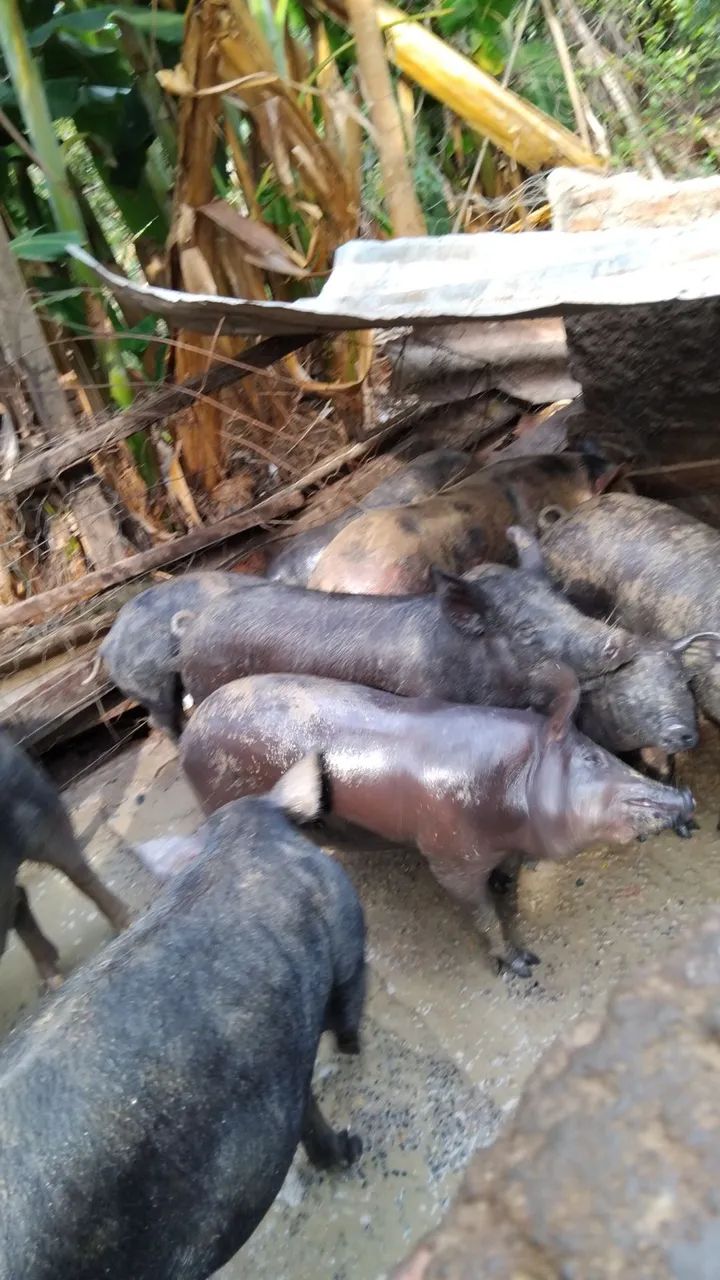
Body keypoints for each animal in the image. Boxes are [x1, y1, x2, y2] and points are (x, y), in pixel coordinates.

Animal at [0, 755, 365, 1280]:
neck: (238, 843)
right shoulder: (345, 934)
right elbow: (348, 1004)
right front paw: (355, 1135)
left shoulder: (283, 1063)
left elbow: (307, 1113)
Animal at [179, 673, 694, 977]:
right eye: (591, 758)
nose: (687, 798)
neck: (511, 790)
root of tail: (190, 729)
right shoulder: (448, 856)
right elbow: (481, 912)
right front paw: (524, 966)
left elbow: (508, 874)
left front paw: (507, 883)